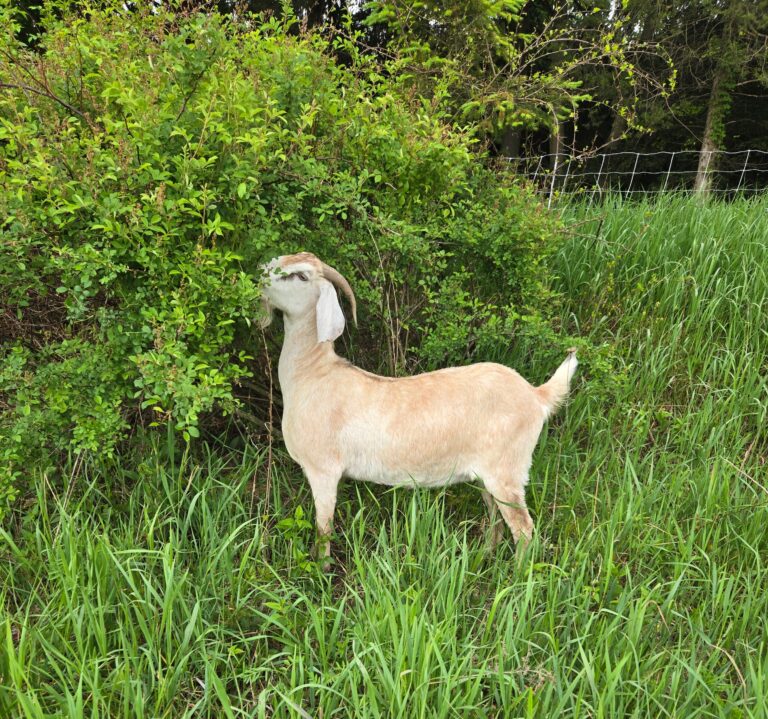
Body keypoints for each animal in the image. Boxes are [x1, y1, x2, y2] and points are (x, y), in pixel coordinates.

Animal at [260, 252, 577, 564]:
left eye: (300, 275)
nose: (261, 275)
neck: (313, 373)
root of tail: (536, 395)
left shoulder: (323, 469)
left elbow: (323, 529)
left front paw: (322, 570)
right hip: (487, 474)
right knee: (496, 516)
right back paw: (484, 556)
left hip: (507, 470)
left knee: (523, 529)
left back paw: (516, 573)